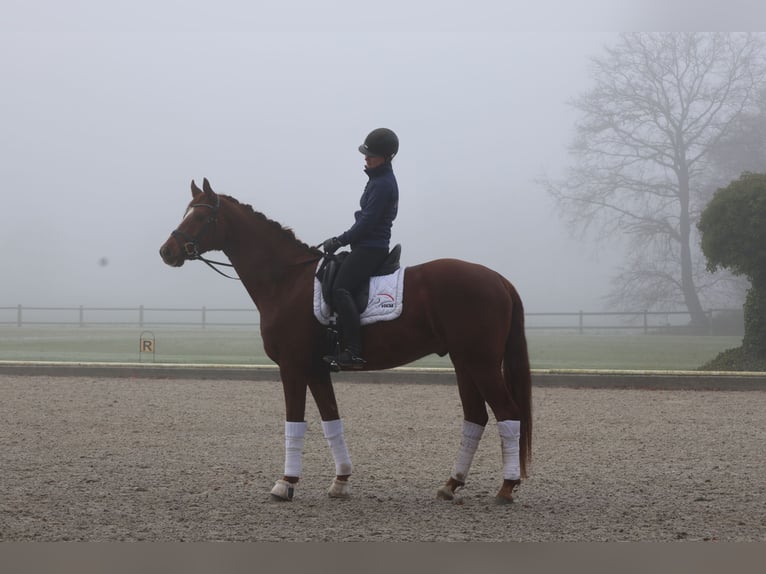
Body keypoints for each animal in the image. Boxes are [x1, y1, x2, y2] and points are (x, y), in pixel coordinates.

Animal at [160, 179, 536, 504]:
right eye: (187, 213)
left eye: (201, 217)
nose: (166, 251)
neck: (287, 280)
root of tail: (499, 280)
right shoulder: (316, 369)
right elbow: (332, 421)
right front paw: (340, 481)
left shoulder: (292, 367)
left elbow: (295, 422)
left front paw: (286, 483)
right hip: (464, 362)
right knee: (476, 417)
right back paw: (451, 484)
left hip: (481, 363)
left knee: (507, 413)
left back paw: (506, 488)